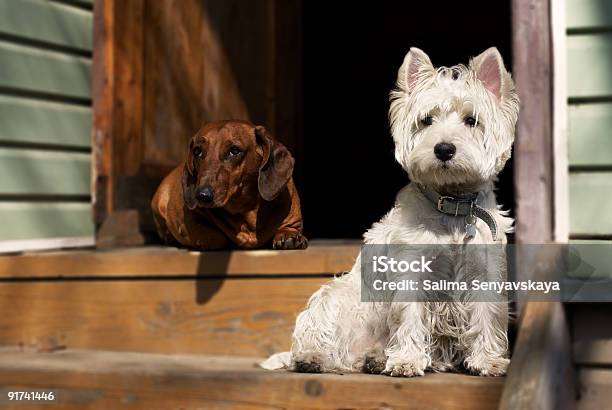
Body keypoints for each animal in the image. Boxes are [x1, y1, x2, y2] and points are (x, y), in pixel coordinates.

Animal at [151, 120, 308, 250]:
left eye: (234, 150)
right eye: (197, 151)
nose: (202, 196)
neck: (246, 208)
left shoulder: (293, 220)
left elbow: (289, 229)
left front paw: (289, 236)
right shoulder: (192, 220)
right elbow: (217, 238)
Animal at [262, 46, 520, 376]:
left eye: (471, 120)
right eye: (426, 120)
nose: (444, 149)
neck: (452, 206)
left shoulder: (485, 270)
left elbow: (486, 315)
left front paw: (488, 360)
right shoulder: (411, 268)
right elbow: (408, 316)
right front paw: (406, 360)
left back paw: (374, 359)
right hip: (338, 297)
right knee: (321, 339)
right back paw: (314, 359)